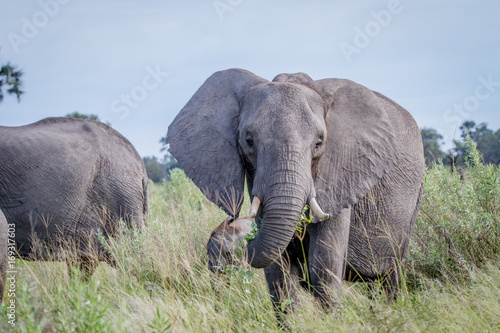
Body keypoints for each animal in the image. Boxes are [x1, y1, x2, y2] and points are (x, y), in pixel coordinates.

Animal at [167, 68, 422, 310]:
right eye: (249, 142)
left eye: (319, 143)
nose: (242, 245)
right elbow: (278, 273)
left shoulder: (342, 172)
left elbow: (325, 266)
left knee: (389, 279)